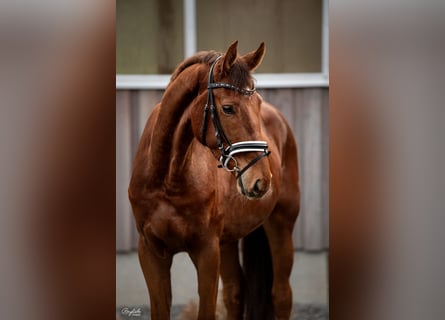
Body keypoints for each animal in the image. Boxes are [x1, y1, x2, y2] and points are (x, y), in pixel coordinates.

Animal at [127, 40, 298, 320]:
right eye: (228, 108)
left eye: (258, 104)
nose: (262, 180)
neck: (167, 178)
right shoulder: (151, 253)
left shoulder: (207, 252)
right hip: (227, 240)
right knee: (234, 292)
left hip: (281, 223)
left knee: (282, 294)